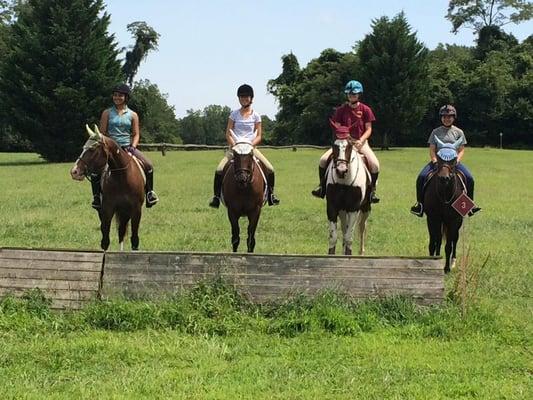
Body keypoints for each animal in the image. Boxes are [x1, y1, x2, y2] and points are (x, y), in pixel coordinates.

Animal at [70, 123, 147, 252]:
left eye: (92, 149)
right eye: (83, 147)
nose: (74, 172)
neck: (122, 177)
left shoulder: (136, 209)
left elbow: (134, 239)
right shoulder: (107, 209)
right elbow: (105, 239)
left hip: (125, 212)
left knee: (122, 232)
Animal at [422, 137, 464, 272]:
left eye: (454, 159)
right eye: (439, 158)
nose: (444, 178)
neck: (444, 194)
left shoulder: (453, 220)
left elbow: (449, 245)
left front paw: (446, 268)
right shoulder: (433, 218)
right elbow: (434, 242)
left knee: (455, 239)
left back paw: (453, 262)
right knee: (439, 239)